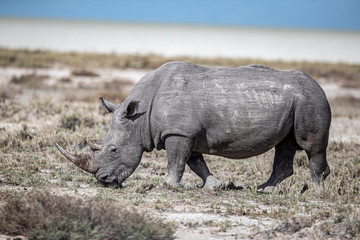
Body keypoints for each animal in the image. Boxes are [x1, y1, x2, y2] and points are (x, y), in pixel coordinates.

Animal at [55, 61, 332, 191]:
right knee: (285, 146)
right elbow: (195, 162)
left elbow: (176, 161)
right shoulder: (188, 134)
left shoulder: (178, 133)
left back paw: (315, 193)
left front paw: (167, 186)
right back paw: (265, 190)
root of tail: (320, 87)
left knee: (311, 147)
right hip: (296, 102)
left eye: (113, 150)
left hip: (311, 100)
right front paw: (213, 185)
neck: (140, 117)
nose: (103, 180)